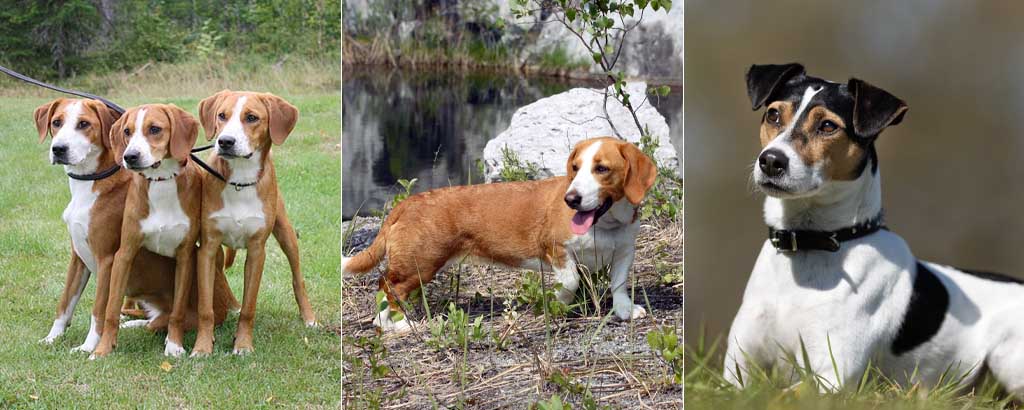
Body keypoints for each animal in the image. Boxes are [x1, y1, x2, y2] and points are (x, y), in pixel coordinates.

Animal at [34, 98, 188, 352]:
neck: (91, 183)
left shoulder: (106, 259)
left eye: (84, 124)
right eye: (56, 122)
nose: (59, 149)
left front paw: (88, 347)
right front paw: (51, 338)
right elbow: (65, 304)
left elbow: (98, 309)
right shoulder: (77, 257)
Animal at [89, 104, 237, 356]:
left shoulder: (185, 257)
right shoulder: (125, 253)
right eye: (127, 131)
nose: (130, 156)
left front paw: (174, 346)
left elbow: (177, 313)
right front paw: (102, 350)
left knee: (157, 321)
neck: (161, 182)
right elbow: (110, 310)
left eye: (155, 129)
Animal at [192, 89, 315, 354]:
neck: (240, 181)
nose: (225, 141)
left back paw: (309, 317)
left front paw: (243, 344)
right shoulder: (207, 248)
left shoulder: (257, 251)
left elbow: (249, 307)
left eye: (251, 118)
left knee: (297, 278)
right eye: (221, 115)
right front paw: (202, 347)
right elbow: (205, 308)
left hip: (286, 233)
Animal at [339, 136, 651, 332]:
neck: (605, 223)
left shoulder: (625, 252)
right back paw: (399, 324)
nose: (571, 199)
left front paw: (625, 311)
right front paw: (557, 306)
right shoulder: (556, 250)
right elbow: (571, 281)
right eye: (575, 168)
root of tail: (407, 203)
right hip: (420, 265)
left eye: (602, 169)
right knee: (388, 287)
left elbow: (619, 285)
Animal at [724, 63, 1024, 393]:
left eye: (827, 126)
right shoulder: (738, 367)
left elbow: (784, 393)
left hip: (1008, 356)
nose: (770, 161)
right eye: (773, 115)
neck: (809, 246)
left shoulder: (831, 375)